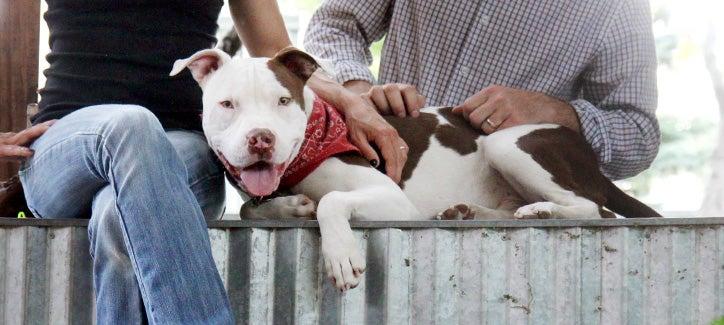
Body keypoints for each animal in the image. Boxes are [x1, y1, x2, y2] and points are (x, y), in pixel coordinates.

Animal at [171, 46, 660, 290]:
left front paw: (341, 253)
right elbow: (252, 206)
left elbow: (331, 200)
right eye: (227, 104)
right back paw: (469, 212)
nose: (261, 139)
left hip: (507, 143)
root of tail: (586, 150)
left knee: (595, 209)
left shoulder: (391, 198)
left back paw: (540, 211)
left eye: (283, 101)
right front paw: (292, 207)